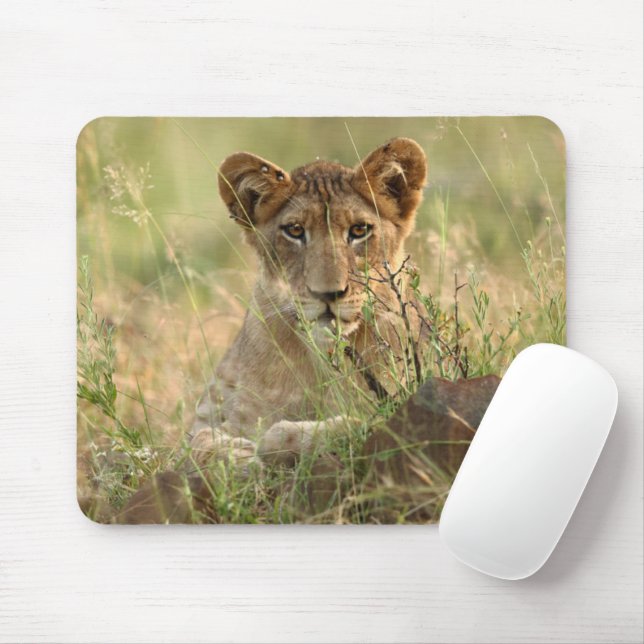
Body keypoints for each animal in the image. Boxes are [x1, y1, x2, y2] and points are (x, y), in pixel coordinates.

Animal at [188, 137, 428, 470]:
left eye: (359, 231)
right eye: (295, 230)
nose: (327, 294)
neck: (323, 360)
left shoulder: (402, 398)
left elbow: (354, 424)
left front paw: (274, 442)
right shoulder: (222, 417)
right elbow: (196, 443)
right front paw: (237, 457)